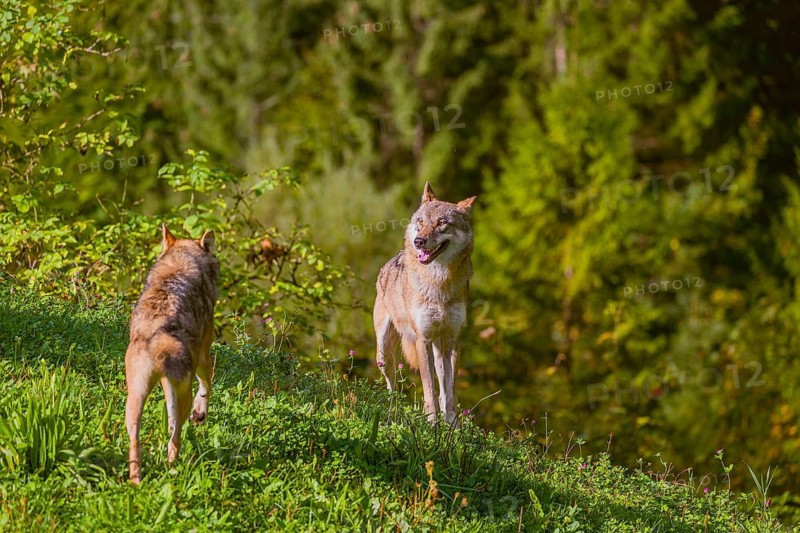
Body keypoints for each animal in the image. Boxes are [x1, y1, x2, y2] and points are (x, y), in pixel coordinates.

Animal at [125, 224, 219, 485]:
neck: (181, 261)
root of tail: (156, 341)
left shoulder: (166, 383)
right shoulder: (203, 355)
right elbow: (207, 386)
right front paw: (200, 414)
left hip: (134, 399)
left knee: (137, 441)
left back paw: (136, 482)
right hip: (182, 391)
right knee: (175, 438)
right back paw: (173, 470)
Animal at [373, 183, 476, 425]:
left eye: (442, 223)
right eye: (421, 221)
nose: (418, 241)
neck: (439, 283)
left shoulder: (452, 340)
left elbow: (449, 391)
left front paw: (452, 425)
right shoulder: (423, 339)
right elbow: (429, 388)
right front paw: (432, 423)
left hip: (439, 351)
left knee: (442, 386)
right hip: (384, 353)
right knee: (392, 385)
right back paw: (394, 411)